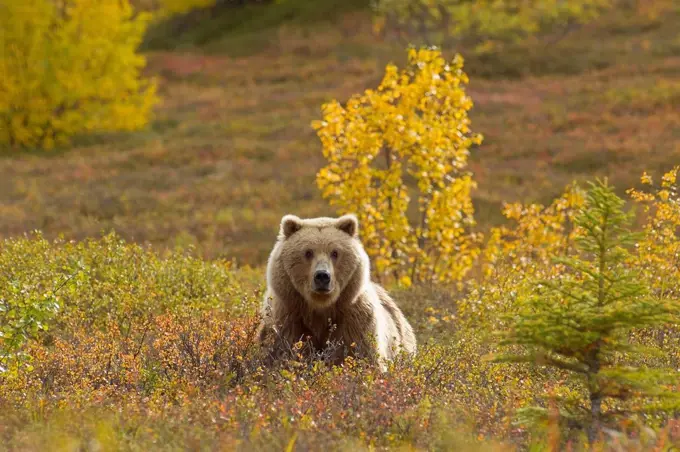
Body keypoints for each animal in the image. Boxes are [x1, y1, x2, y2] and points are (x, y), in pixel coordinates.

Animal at [258, 214, 418, 366]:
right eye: (308, 252)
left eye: (335, 252)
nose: (322, 276)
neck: (320, 309)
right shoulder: (288, 319)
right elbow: (284, 353)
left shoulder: (354, 321)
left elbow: (361, 356)